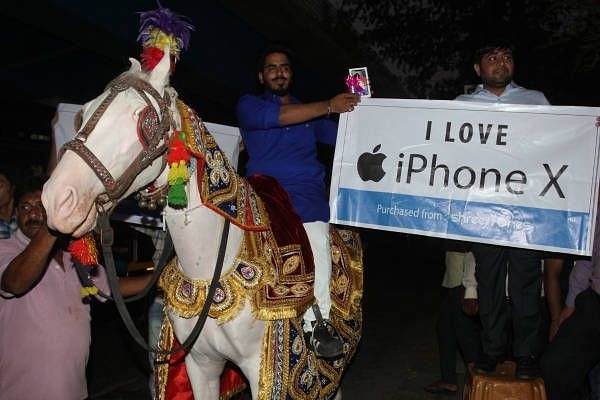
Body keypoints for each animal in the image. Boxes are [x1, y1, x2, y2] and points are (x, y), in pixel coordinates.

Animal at [43, 45, 360, 398]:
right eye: (82, 114)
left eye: (144, 120)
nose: (58, 200)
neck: (209, 266)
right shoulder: (200, 364)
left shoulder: (264, 370)